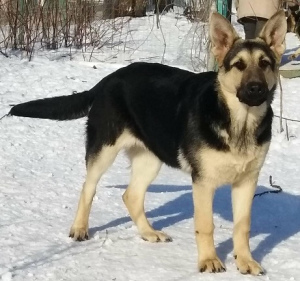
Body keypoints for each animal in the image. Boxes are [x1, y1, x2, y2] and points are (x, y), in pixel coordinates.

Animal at [8, 10, 288, 274]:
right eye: (239, 65)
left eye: (264, 64)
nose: (255, 89)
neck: (240, 122)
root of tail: (108, 80)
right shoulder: (203, 182)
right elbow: (205, 225)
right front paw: (209, 261)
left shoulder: (246, 182)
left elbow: (243, 226)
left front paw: (246, 262)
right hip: (104, 151)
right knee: (88, 187)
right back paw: (79, 228)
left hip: (150, 158)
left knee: (131, 195)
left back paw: (148, 233)